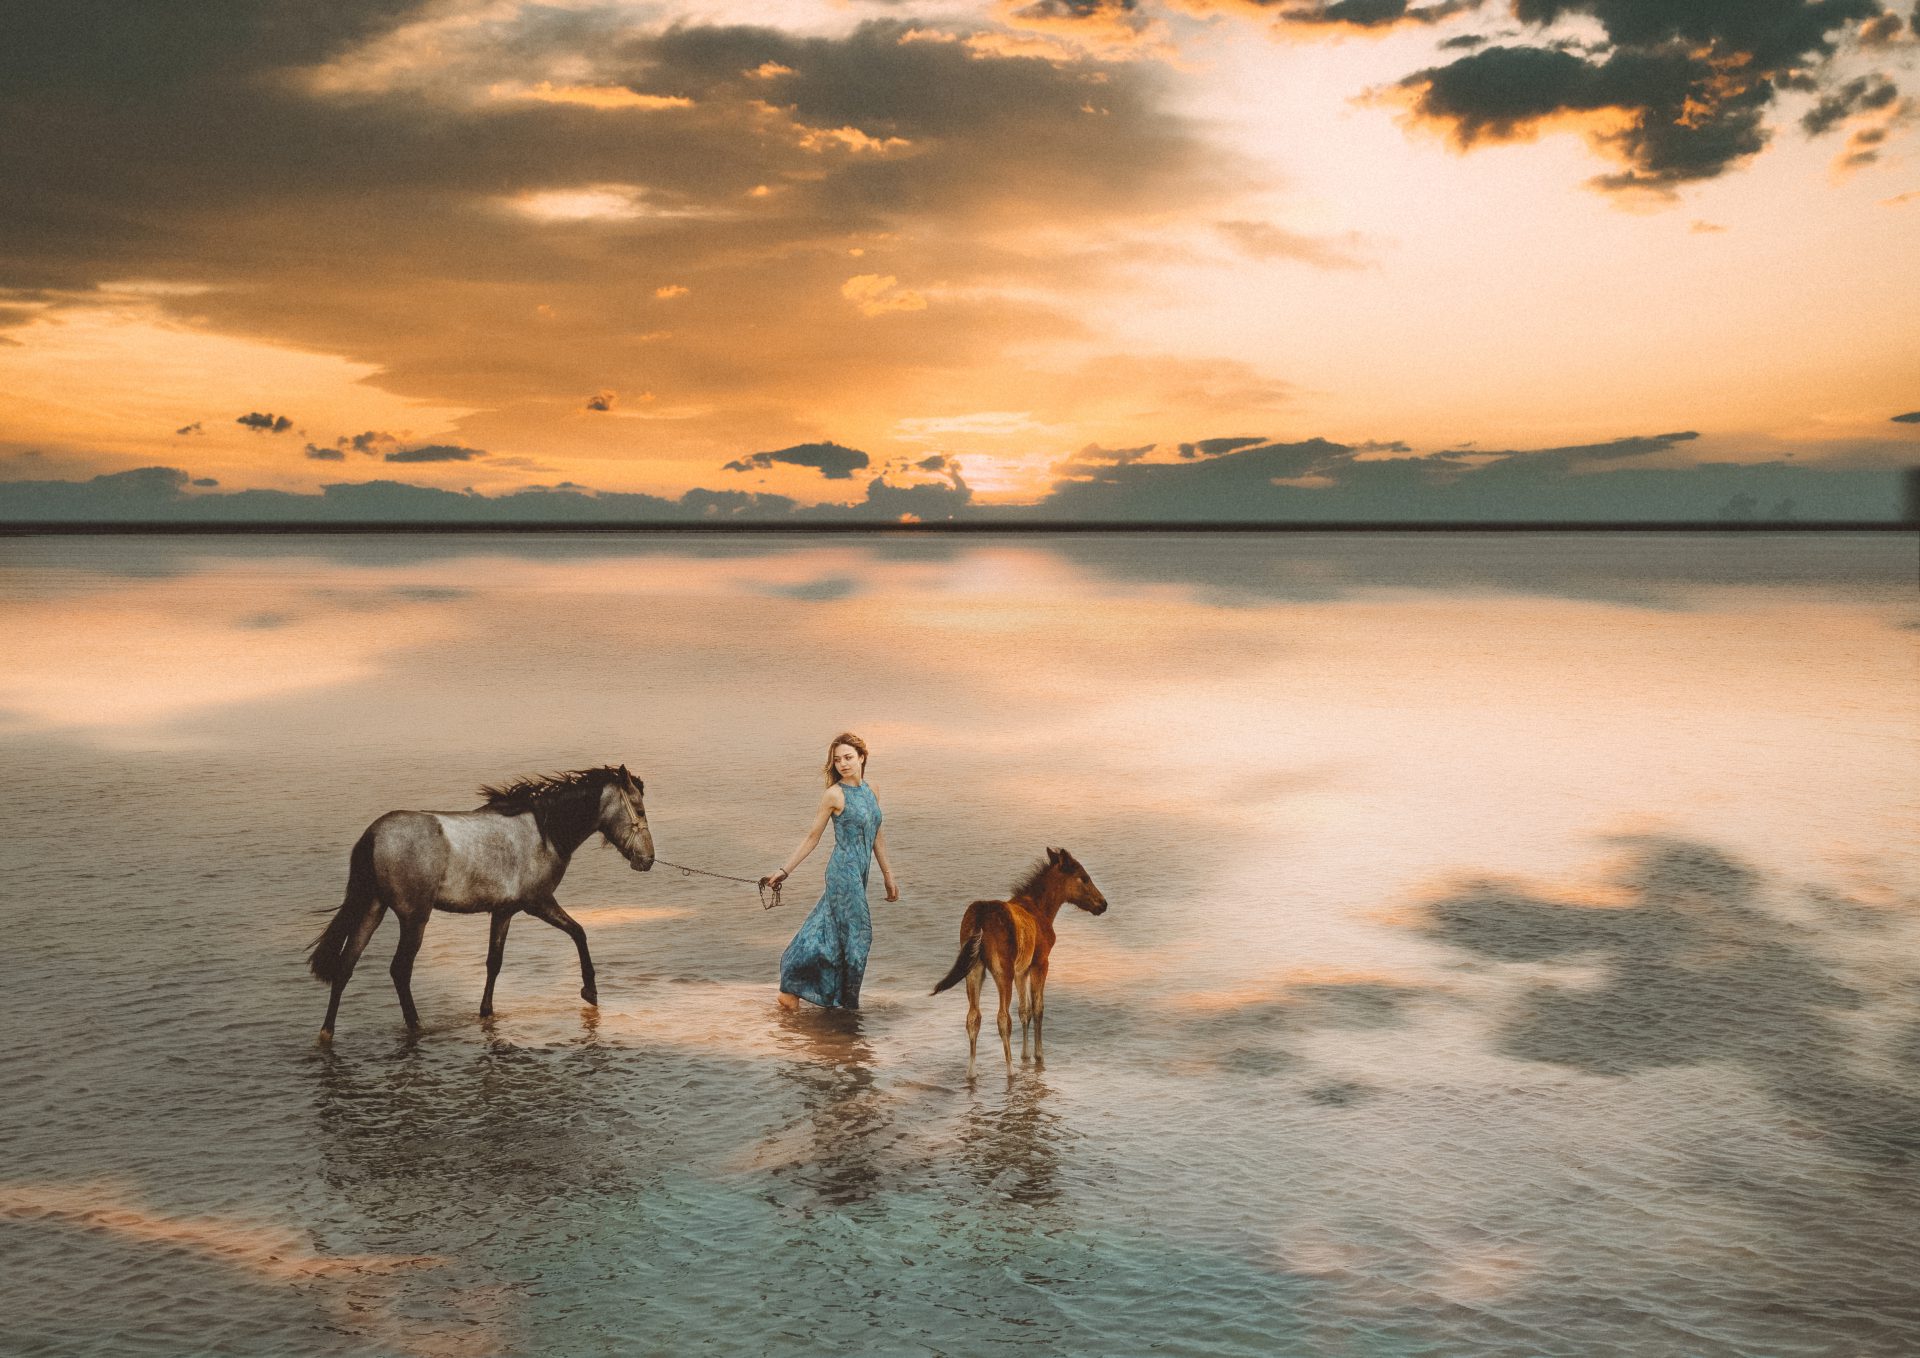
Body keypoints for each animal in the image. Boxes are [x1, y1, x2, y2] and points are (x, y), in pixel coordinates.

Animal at [307, 764, 652, 1044]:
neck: (545, 832)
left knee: (345, 966)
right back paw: (416, 1025)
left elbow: (493, 962)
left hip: (373, 909)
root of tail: (373, 835)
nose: (647, 859)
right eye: (638, 808)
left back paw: (327, 1032)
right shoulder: (538, 902)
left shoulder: (503, 911)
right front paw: (590, 991)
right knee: (399, 970)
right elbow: (579, 932)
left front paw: (486, 1011)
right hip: (414, 917)